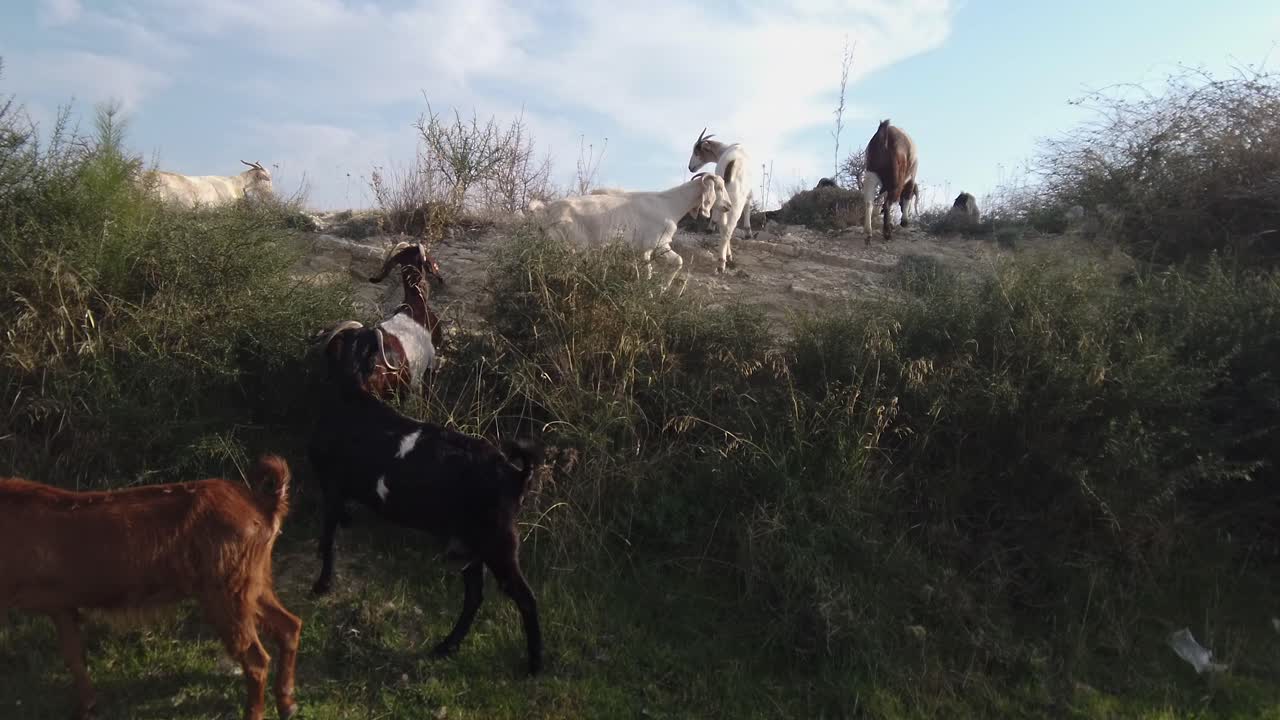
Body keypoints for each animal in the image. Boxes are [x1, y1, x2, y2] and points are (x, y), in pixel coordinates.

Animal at [0, 453, 302, 717]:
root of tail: (263, 505)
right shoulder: (63, 606)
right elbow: (74, 656)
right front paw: (88, 707)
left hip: (226, 590)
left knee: (256, 658)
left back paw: (256, 712)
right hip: (252, 582)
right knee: (289, 625)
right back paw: (287, 705)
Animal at [312, 379, 547, 676]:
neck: (349, 394)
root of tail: (517, 476)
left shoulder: (330, 484)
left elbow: (328, 539)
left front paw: (322, 584)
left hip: (497, 544)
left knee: (525, 598)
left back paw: (535, 664)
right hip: (470, 545)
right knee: (475, 596)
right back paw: (447, 646)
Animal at [686, 126, 752, 271]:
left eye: (696, 152)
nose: (690, 167)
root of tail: (731, 164)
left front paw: (710, 227)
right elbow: (748, 204)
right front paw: (748, 232)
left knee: (723, 226)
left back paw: (726, 256)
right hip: (735, 202)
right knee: (728, 228)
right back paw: (723, 262)